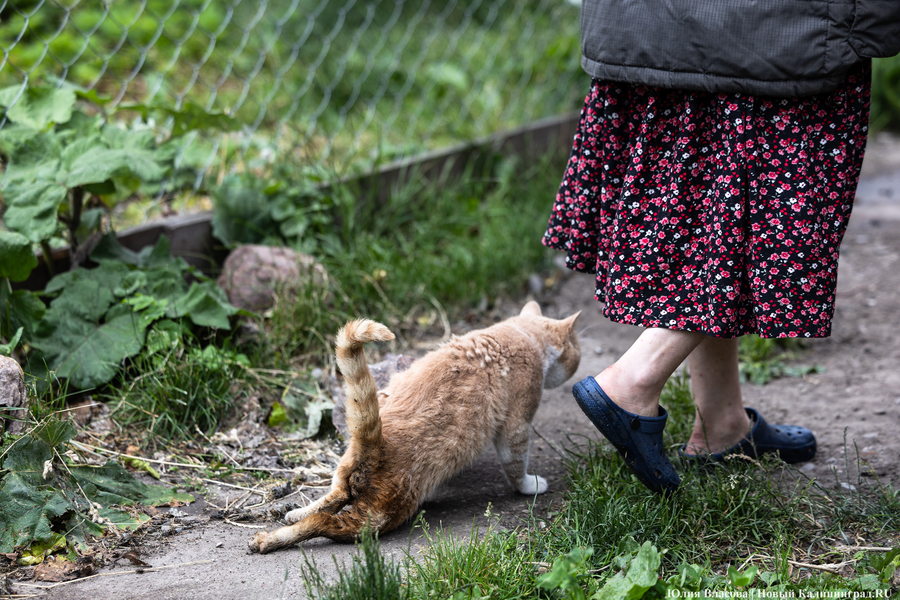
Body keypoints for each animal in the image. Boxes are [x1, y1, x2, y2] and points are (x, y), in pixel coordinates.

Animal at [248, 301, 581, 554]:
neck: (520, 333)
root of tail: (376, 443)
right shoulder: (517, 425)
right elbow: (515, 463)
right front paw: (529, 487)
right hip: (373, 520)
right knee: (323, 523)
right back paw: (269, 541)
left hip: (345, 475)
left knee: (332, 498)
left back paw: (290, 515)